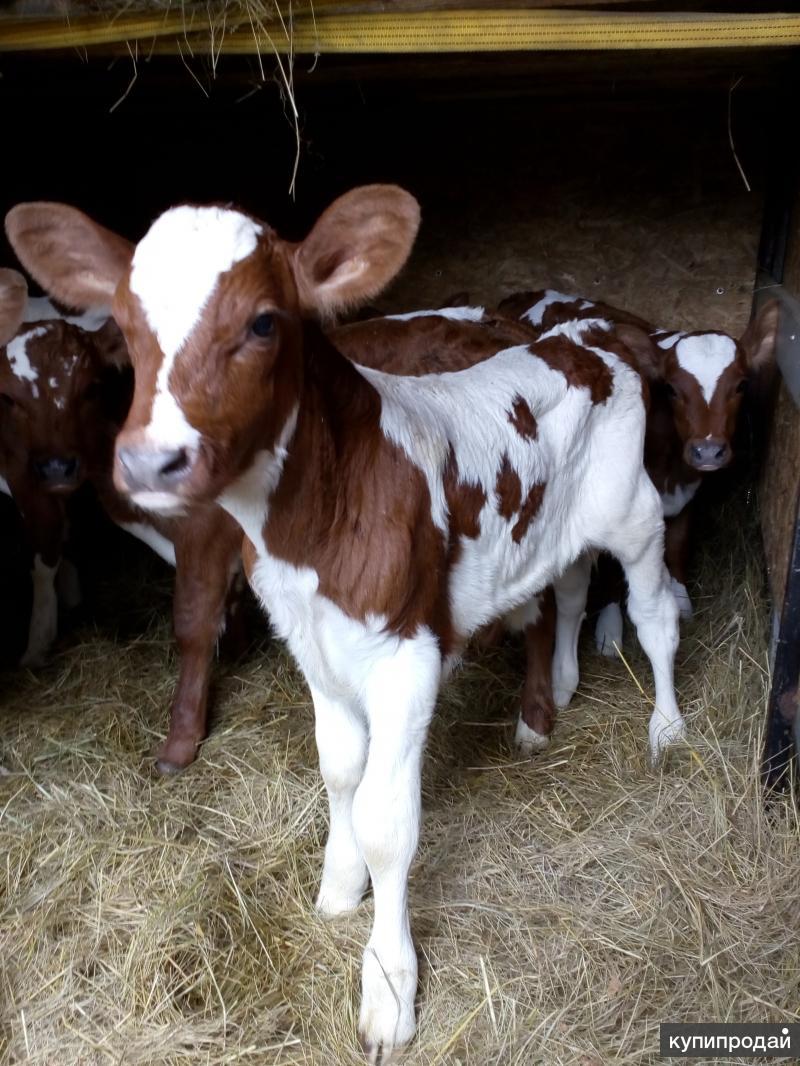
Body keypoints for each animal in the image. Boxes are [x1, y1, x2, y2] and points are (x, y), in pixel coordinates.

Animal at [6, 189, 682, 1057]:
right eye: (126, 322)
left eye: (264, 322)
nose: (153, 462)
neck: (320, 515)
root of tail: (587, 338)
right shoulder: (315, 648)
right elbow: (338, 773)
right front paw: (337, 887)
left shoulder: (405, 659)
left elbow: (389, 820)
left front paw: (389, 988)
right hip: (548, 530)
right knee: (559, 592)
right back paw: (552, 699)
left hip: (636, 516)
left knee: (655, 617)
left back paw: (666, 730)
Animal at [499, 292, 780, 652]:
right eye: (671, 388)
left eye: (742, 384)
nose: (707, 450)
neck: (669, 467)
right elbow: (608, 565)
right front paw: (609, 629)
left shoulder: (688, 489)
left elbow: (678, 542)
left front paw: (680, 598)